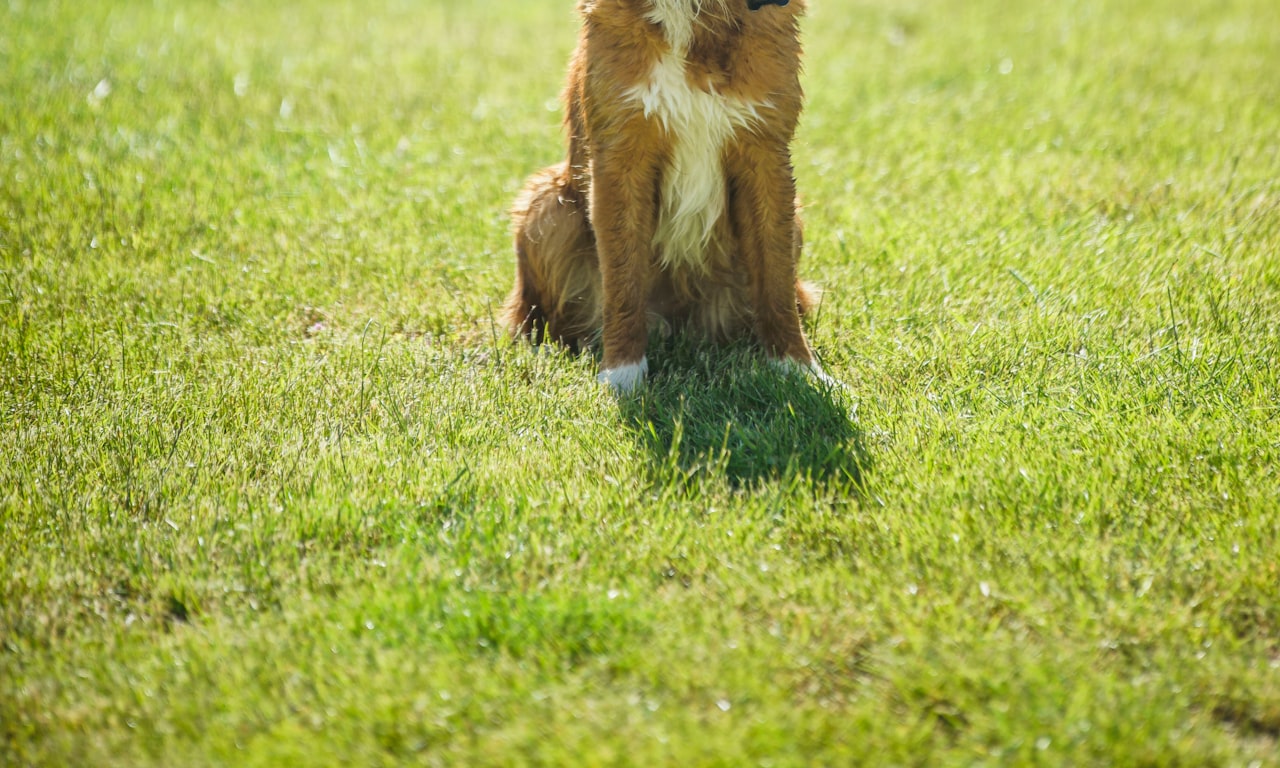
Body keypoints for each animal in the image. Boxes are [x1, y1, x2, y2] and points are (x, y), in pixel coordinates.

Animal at [501, 0, 829, 394]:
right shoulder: (620, 160)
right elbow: (623, 282)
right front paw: (622, 376)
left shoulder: (766, 156)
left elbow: (775, 281)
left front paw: (797, 368)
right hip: (547, 207)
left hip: (794, 220)